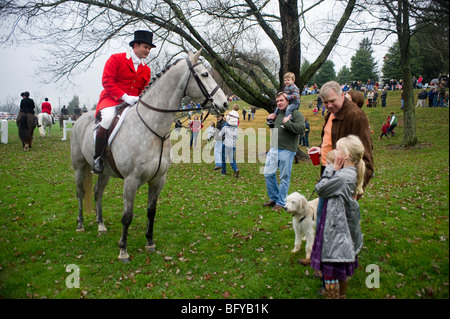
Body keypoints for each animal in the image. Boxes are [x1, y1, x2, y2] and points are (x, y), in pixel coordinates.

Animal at [71, 51, 229, 262]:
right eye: (204, 74)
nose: (224, 103)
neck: (154, 129)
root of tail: (80, 118)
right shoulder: (131, 180)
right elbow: (127, 216)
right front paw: (123, 250)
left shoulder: (158, 179)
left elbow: (151, 211)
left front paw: (150, 243)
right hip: (79, 167)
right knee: (81, 193)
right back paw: (80, 224)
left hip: (104, 172)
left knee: (97, 192)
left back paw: (101, 224)